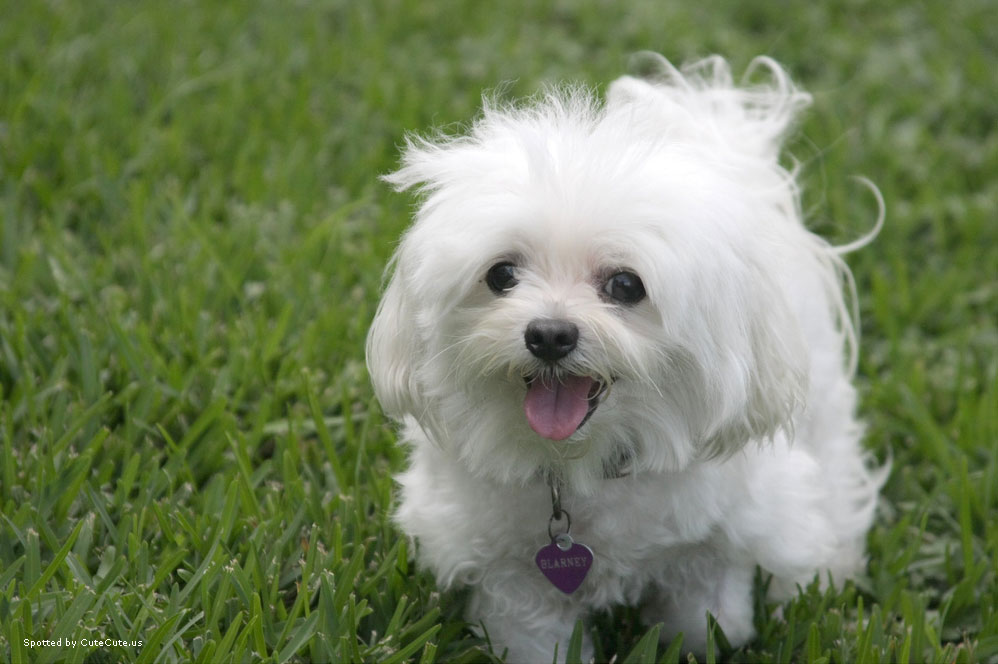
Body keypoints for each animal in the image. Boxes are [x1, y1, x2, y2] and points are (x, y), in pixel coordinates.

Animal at [372, 54, 888, 660]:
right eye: (501, 275)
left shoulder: (711, 551)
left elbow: (704, 620)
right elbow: (534, 638)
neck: (585, 465)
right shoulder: (512, 577)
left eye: (625, 285)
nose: (549, 335)